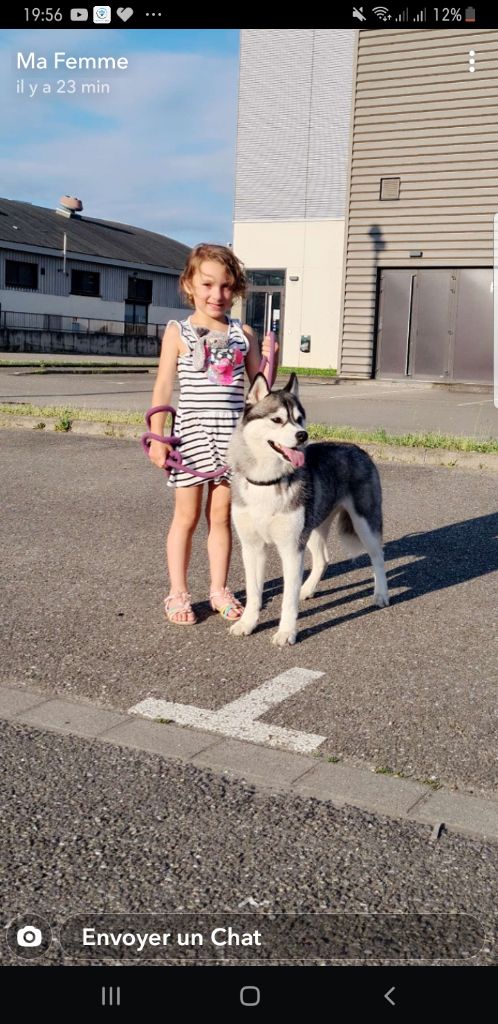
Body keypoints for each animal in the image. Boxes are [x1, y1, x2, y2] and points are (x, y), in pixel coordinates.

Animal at [228, 373, 389, 646]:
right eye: (277, 419)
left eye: (299, 418)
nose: (303, 435)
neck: (268, 482)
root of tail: (358, 448)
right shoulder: (252, 547)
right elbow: (253, 592)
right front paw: (247, 623)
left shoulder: (291, 548)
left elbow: (287, 599)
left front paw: (286, 632)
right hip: (314, 525)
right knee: (323, 560)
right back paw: (307, 588)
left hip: (364, 523)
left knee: (378, 557)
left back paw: (381, 594)